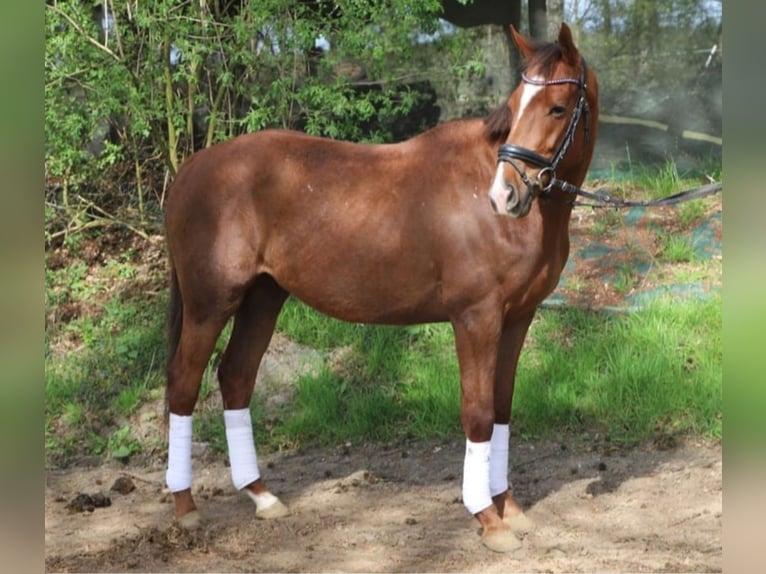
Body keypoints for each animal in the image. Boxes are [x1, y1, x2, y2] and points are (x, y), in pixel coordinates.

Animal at [163, 22, 598, 553]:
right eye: (515, 106)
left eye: (556, 107)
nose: (505, 195)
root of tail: (190, 169)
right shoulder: (476, 318)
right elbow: (477, 413)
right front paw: (488, 520)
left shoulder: (517, 317)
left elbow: (501, 408)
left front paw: (509, 508)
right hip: (210, 304)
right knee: (184, 385)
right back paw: (185, 508)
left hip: (263, 299)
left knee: (236, 378)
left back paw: (261, 497)